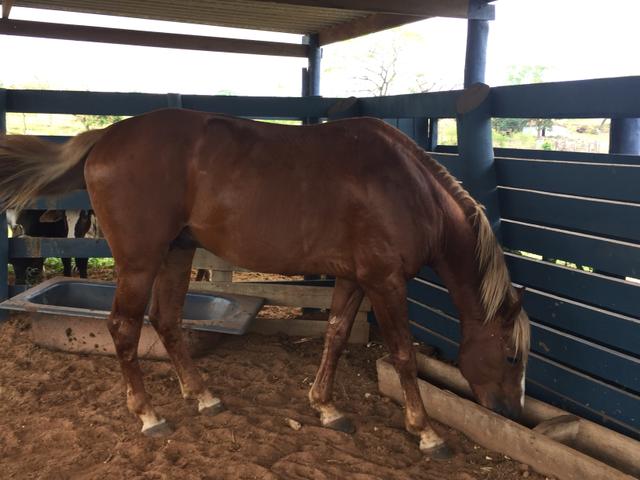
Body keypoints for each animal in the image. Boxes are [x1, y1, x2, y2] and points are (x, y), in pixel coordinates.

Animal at [0, 109, 530, 458]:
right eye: (511, 356)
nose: (511, 411)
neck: (409, 188)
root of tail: (106, 136)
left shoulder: (355, 277)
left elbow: (336, 334)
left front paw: (326, 407)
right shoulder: (386, 282)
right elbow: (403, 354)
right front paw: (426, 432)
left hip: (177, 252)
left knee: (166, 320)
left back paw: (202, 395)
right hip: (139, 260)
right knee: (125, 327)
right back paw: (149, 414)